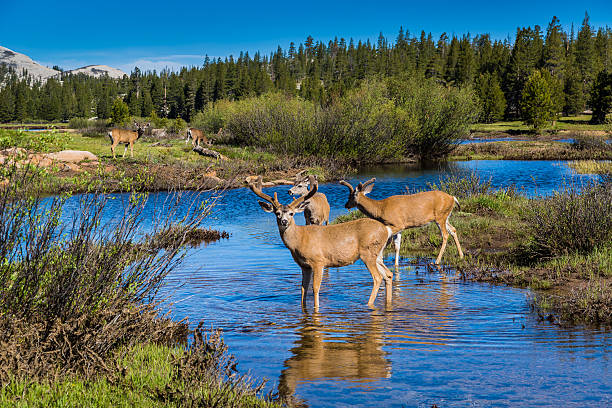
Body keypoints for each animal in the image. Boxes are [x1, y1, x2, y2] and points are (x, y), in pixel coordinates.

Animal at [247, 175, 392, 310]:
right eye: (277, 213)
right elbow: (303, 289)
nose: (284, 221)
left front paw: (316, 309)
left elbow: (315, 288)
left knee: (377, 277)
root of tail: (387, 230)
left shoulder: (318, 261)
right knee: (388, 274)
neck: (300, 239)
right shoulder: (304, 266)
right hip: (377, 254)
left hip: (368, 252)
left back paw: (369, 304)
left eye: (292, 213)